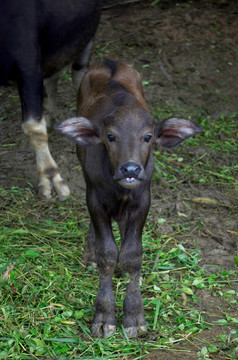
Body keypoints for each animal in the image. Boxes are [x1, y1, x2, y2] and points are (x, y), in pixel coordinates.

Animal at [56, 59, 203, 338]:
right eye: (111, 136)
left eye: (148, 137)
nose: (131, 169)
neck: (120, 189)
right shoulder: (95, 200)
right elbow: (107, 253)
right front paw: (105, 316)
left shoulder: (142, 202)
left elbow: (133, 255)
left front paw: (134, 315)